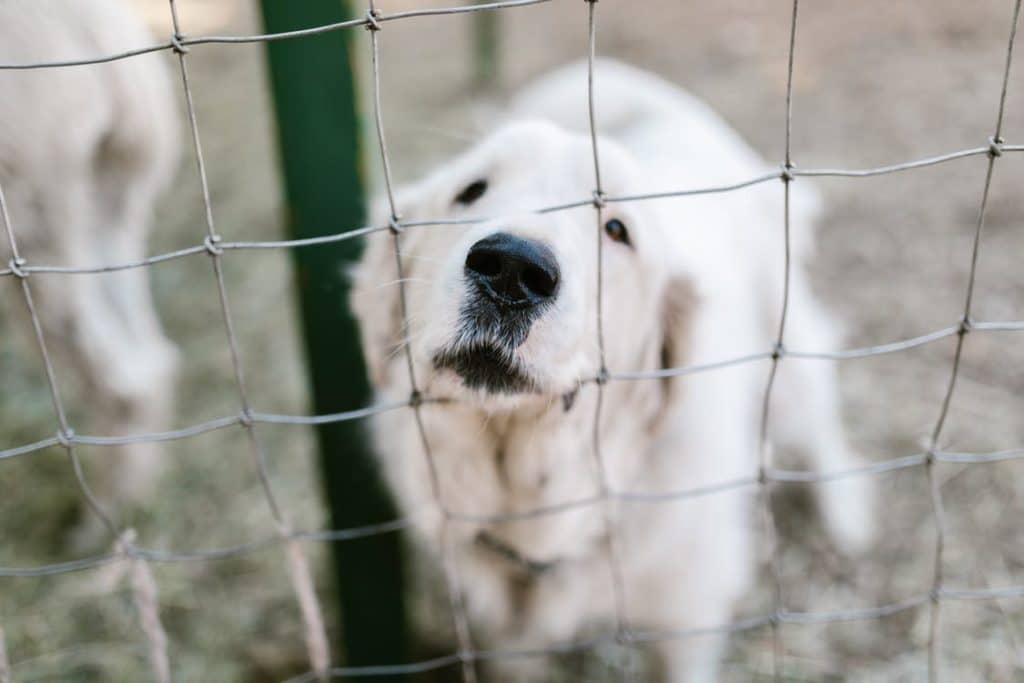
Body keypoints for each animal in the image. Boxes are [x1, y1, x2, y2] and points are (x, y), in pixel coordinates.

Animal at [352, 61, 872, 679]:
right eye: (471, 191)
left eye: (617, 230)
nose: (511, 269)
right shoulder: (508, 636)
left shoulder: (687, 614)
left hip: (787, 360)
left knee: (820, 421)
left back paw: (845, 510)